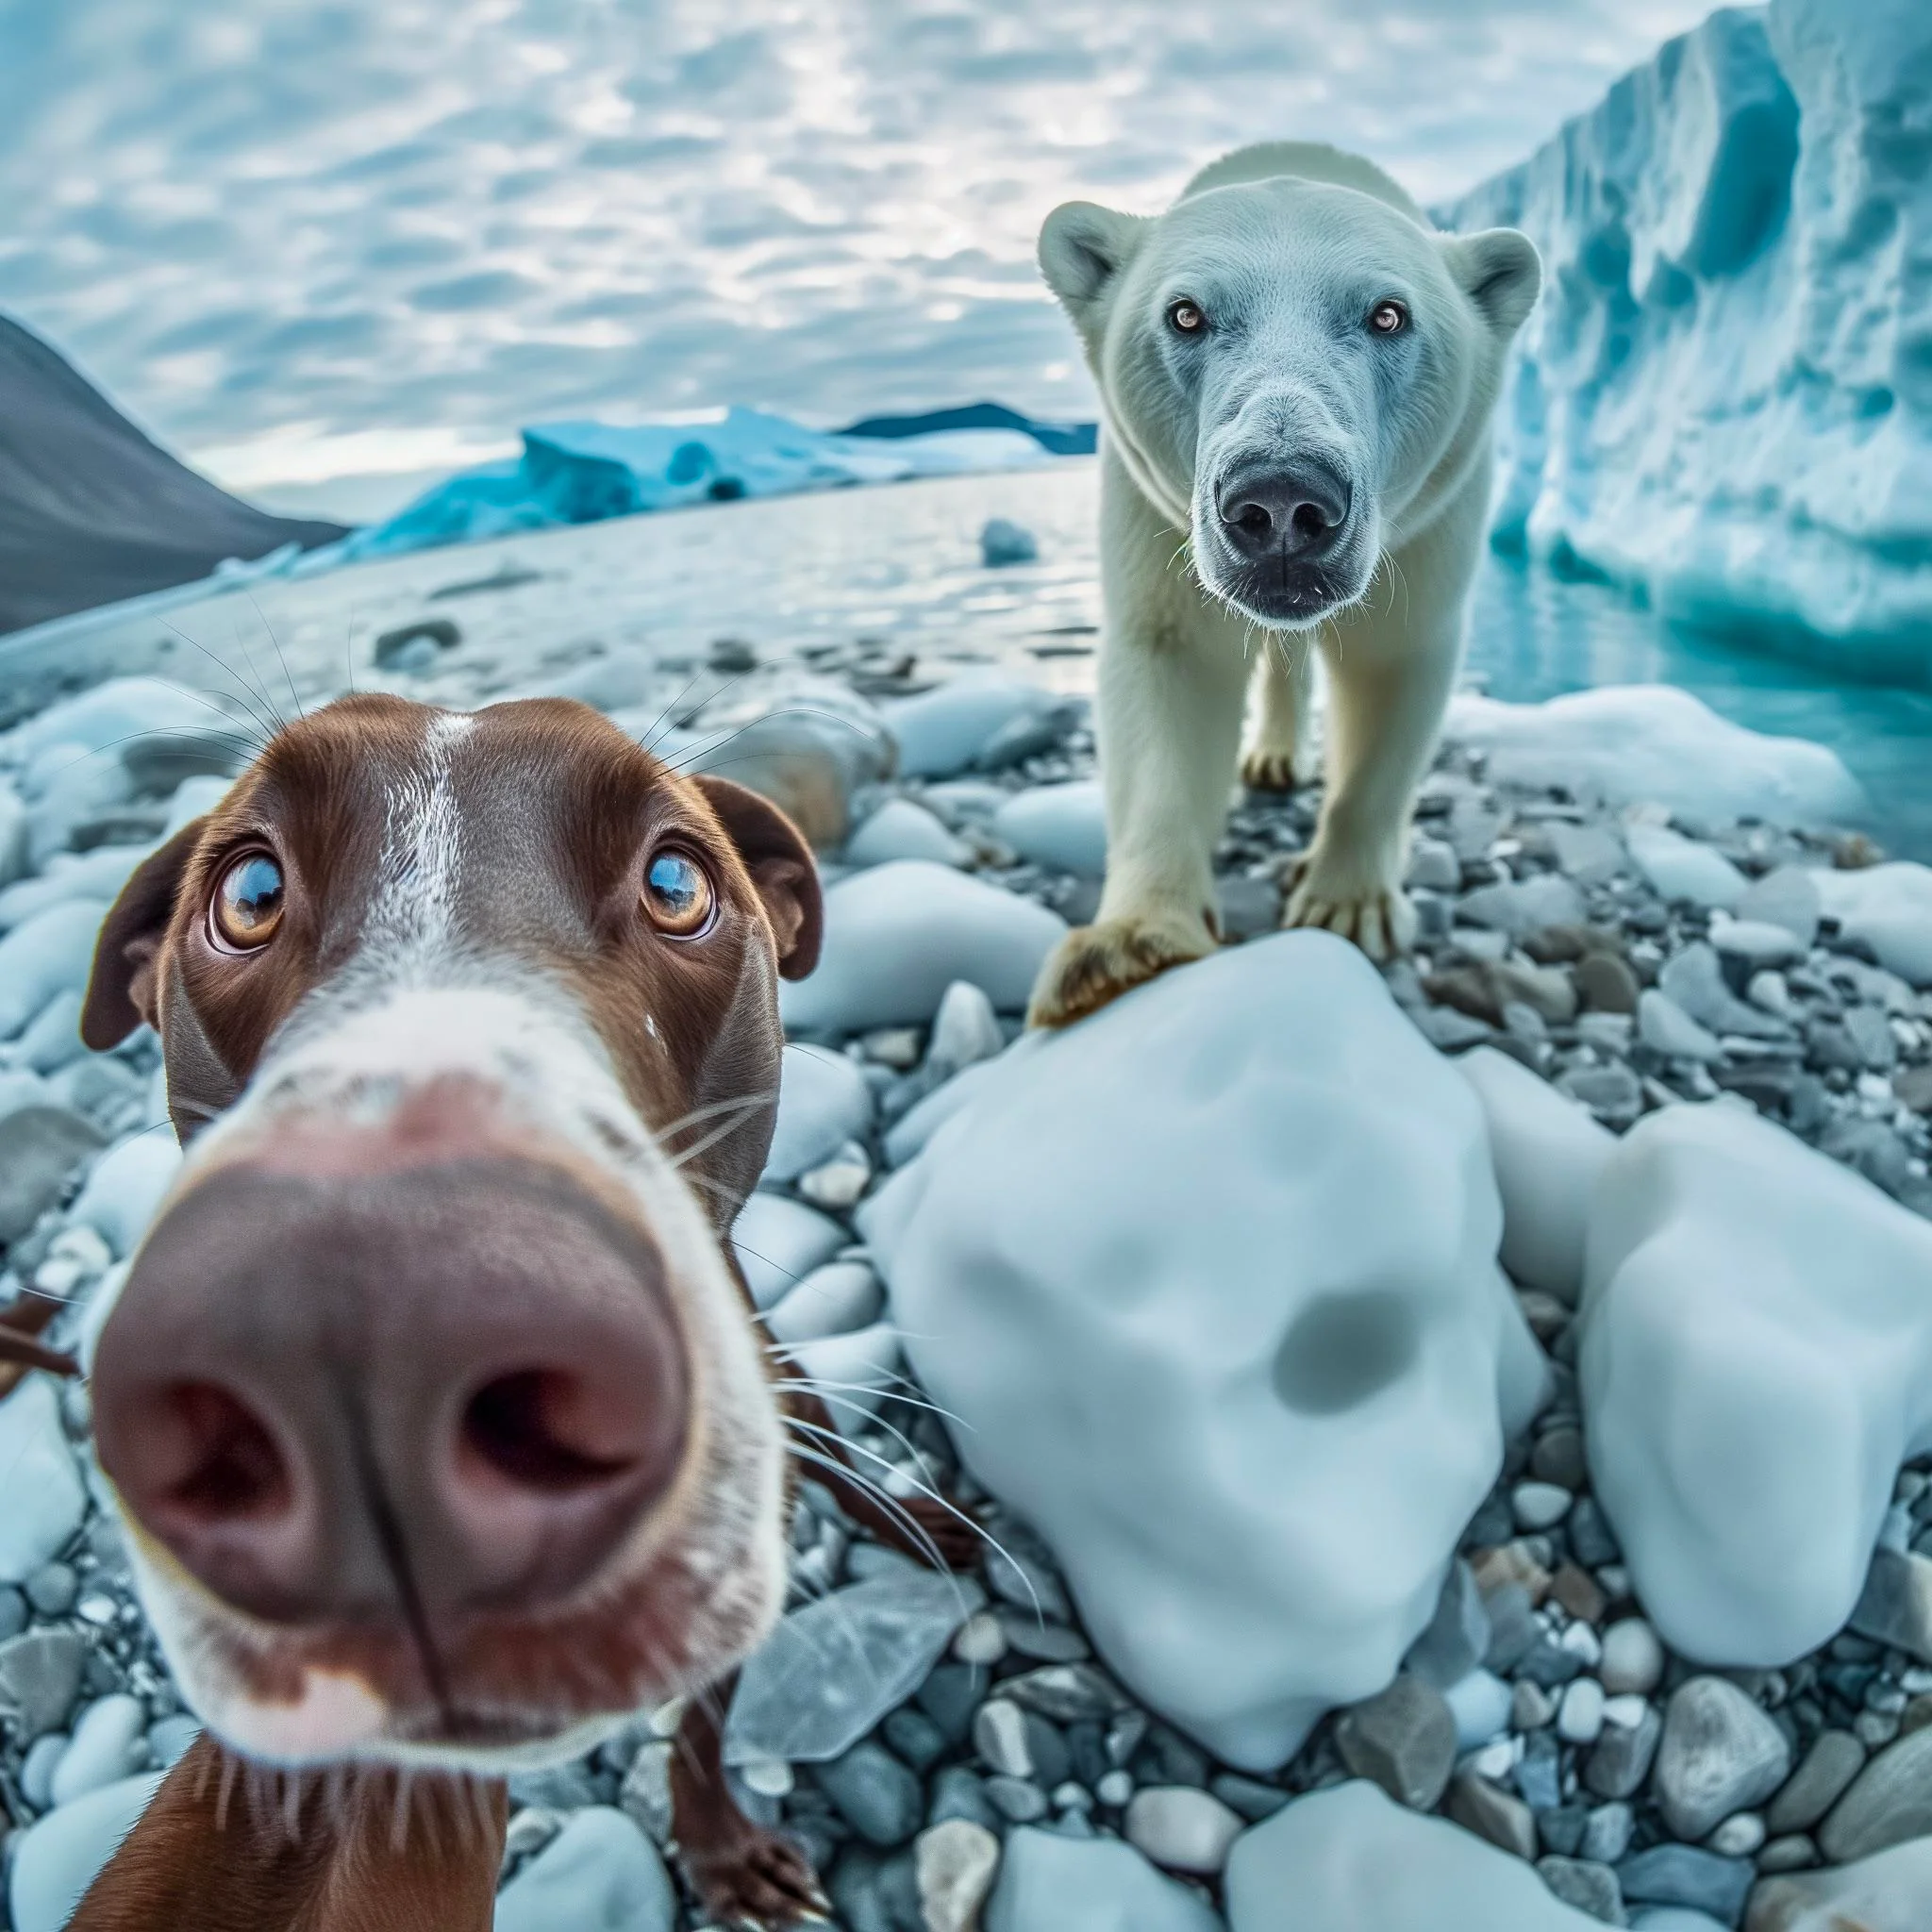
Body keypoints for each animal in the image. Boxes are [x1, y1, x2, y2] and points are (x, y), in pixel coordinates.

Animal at [1027, 142, 1538, 1027]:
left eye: (1388, 315)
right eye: (1186, 314)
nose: (1281, 502)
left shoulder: (1429, 525)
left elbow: (1392, 672)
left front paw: (1348, 903)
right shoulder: (1153, 515)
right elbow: (1171, 667)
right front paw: (1125, 950)